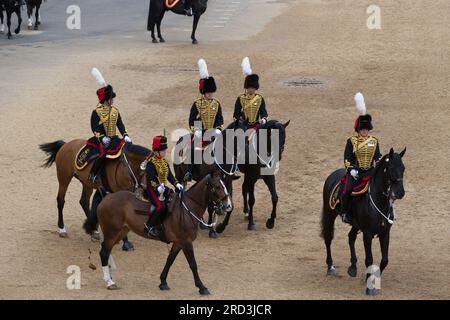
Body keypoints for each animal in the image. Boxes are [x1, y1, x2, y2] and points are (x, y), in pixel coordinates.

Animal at [83, 170, 232, 296]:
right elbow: (193, 264)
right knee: (104, 252)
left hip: (120, 232)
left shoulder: (179, 242)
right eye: (217, 186)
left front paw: (163, 282)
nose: (228, 206)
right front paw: (202, 287)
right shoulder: (186, 242)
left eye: (224, 185)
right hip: (112, 232)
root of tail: (106, 197)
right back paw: (109, 282)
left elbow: (170, 260)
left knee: (105, 249)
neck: (187, 209)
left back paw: (110, 273)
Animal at [322, 148, 406, 296]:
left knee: (351, 237)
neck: (379, 201)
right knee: (328, 238)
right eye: (391, 168)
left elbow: (384, 260)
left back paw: (353, 267)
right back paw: (331, 267)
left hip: (356, 224)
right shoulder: (367, 234)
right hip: (329, 214)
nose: (400, 193)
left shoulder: (385, 233)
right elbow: (369, 259)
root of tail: (333, 175)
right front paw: (369, 287)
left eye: (403, 168)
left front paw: (371, 279)